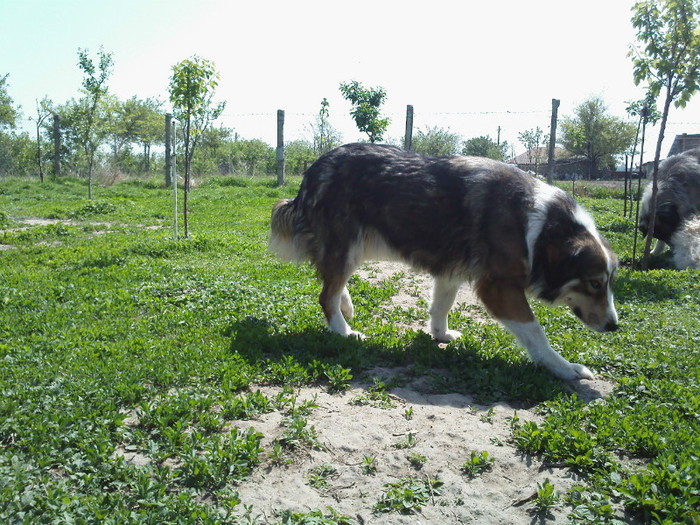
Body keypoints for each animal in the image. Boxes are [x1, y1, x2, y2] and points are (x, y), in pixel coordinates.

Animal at [270, 143, 616, 380]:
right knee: (325, 294)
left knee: (331, 282)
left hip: (353, 249)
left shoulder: (452, 271)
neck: (540, 226)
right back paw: (343, 330)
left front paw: (440, 335)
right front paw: (566, 368)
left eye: (609, 283)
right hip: (349, 246)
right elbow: (537, 334)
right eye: (594, 283)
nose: (614, 326)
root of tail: (314, 169)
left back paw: (347, 306)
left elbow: (441, 307)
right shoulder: (498, 288)